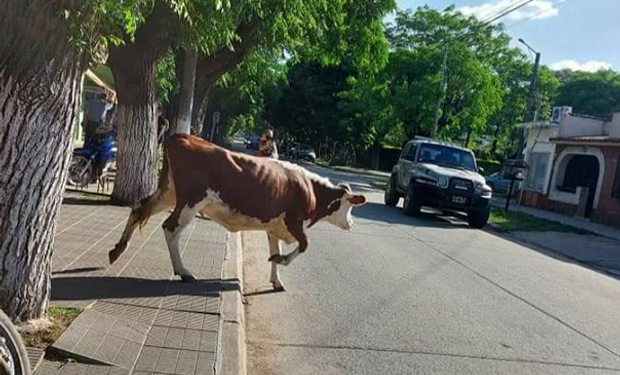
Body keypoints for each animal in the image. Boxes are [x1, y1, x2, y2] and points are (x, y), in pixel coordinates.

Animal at [109, 134, 366, 290]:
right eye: (350, 206)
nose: (352, 224)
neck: (311, 189)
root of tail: (183, 136)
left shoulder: (274, 226)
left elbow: (275, 249)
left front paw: (276, 279)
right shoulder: (294, 222)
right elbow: (303, 245)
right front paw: (280, 261)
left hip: (170, 193)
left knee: (140, 207)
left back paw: (117, 249)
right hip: (191, 201)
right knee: (170, 228)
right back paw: (184, 272)